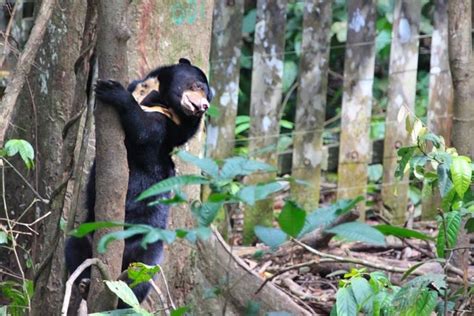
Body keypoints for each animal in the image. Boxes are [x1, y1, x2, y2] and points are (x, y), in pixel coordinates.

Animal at [64, 57, 211, 306]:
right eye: (199, 86)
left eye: (207, 95)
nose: (204, 107)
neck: (155, 95)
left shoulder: (166, 123)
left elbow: (143, 130)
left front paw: (113, 90)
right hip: (87, 235)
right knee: (74, 245)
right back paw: (84, 284)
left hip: (147, 249)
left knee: (141, 277)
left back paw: (124, 299)